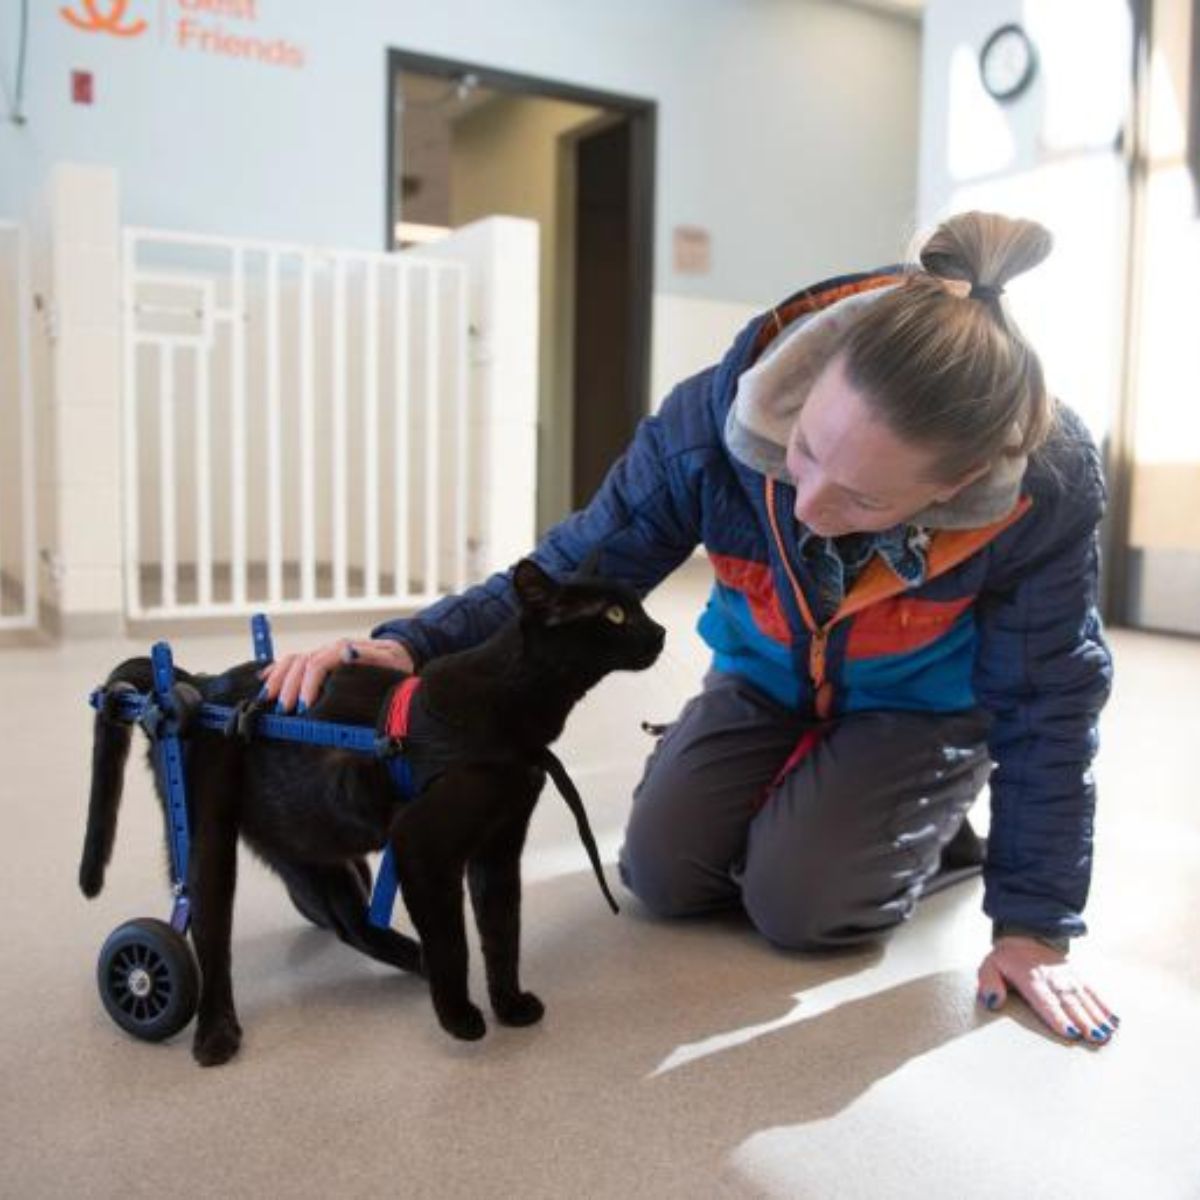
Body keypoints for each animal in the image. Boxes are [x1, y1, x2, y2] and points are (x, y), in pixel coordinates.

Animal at [79, 556, 667, 1065]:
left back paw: (412, 958)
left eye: (637, 606)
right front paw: (459, 1018)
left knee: (351, 922)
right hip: (211, 836)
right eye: (613, 615)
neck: (510, 710)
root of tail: (193, 686)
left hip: (311, 843)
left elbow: (503, 934)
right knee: (207, 928)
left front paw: (510, 1005)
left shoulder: (500, 847)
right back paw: (214, 1032)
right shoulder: (423, 844)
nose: (660, 632)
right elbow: (455, 939)